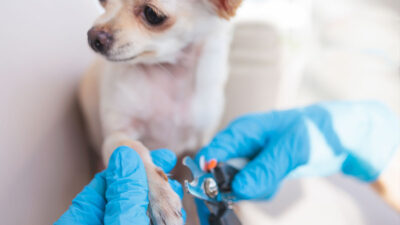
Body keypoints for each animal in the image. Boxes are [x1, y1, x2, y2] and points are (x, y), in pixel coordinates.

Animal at [78, 0, 241, 225]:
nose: (93, 36)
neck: (171, 74)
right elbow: (135, 150)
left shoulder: (200, 141)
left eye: (152, 14)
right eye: (103, 3)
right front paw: (160, 198)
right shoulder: (117, 135)